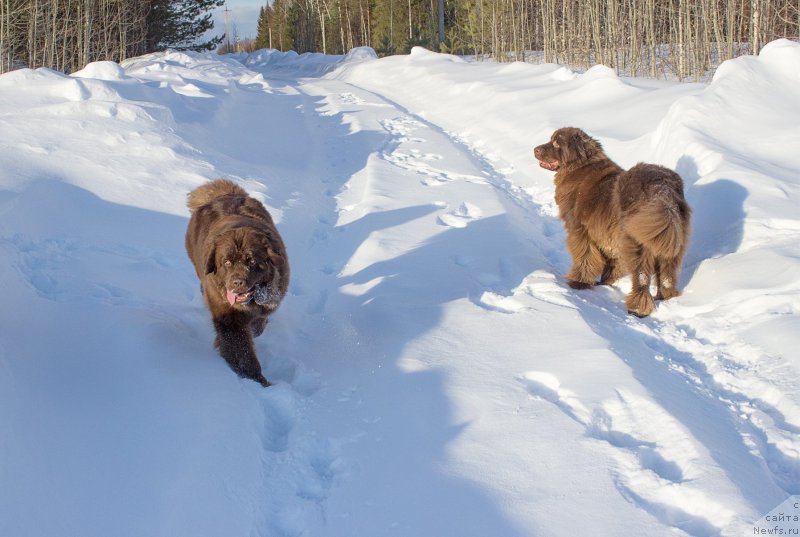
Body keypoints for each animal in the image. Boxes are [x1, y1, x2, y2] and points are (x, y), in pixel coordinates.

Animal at [186, 180, 290, 386]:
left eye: (252, 261)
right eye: (226, 262)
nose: (237, 283)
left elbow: (258, 323)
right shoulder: (227, 315)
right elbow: (241, 350)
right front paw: (259, 381)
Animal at [536, 127, 692, 316]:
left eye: (557, 142)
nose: (535, 149)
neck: (579, 167)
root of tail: (662, 189)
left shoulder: (580, 230)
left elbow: (584, 256)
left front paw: (578, 282)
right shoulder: (609, 235)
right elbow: (612, 262)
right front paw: (605, 281)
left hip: (638, 242)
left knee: (642, 279)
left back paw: (637, 309)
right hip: (669, 242)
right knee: (667, 277)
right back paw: (665, 299)